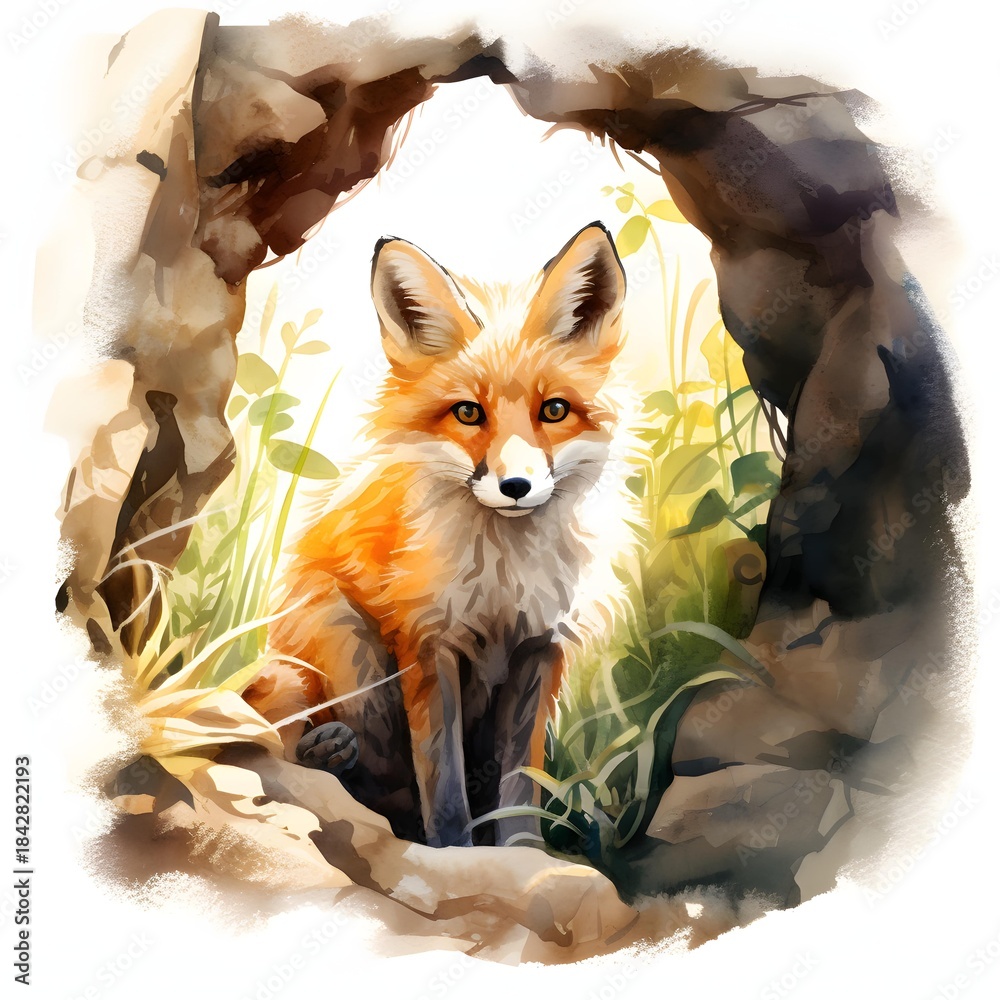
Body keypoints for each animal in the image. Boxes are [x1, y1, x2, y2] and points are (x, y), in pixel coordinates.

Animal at [244, 222, 636, 848]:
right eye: (468, 413)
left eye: (554, 410)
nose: (517, 485)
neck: (504, 576)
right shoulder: (429, 642)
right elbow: (444, 783)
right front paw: (455, 852)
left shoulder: (538, 648)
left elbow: (520, 784)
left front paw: (525, 854)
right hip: (346, 652)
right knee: (313, 756)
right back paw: (328, 757)